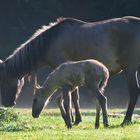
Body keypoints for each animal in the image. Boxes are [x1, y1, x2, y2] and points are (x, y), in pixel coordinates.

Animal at [0, 15, 140, 125]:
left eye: (4, 81)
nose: (7, 104)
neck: (50, 42)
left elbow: (73, 96)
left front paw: (74, 119)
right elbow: (74, 96)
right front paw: (74, 118)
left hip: (130, 69)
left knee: (134, 91)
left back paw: (126, 120)